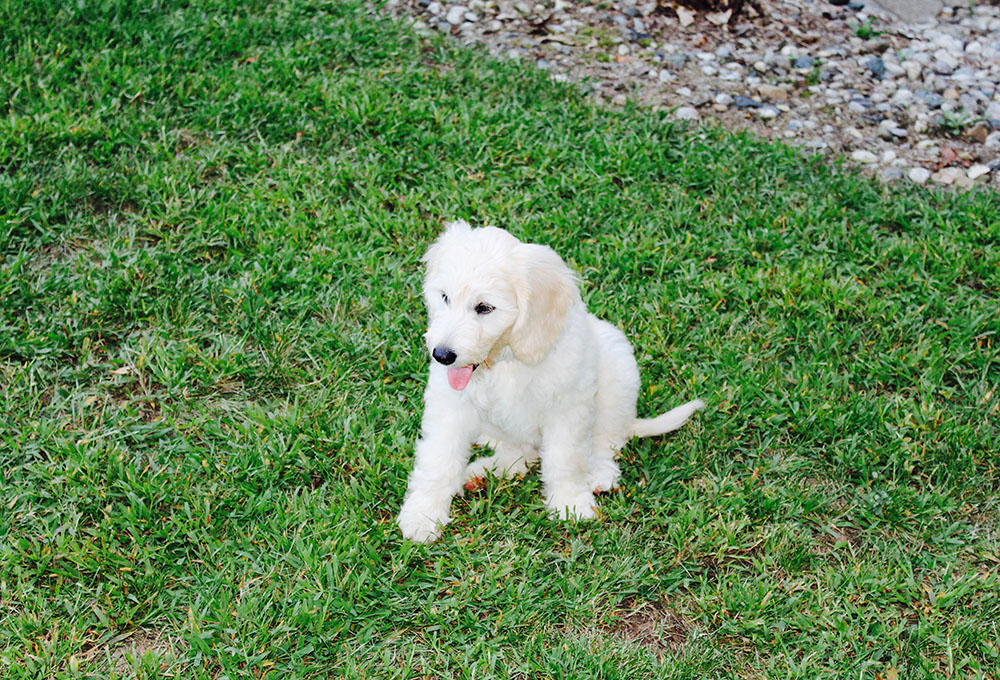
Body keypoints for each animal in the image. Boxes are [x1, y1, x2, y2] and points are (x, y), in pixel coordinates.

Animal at [394, 222, 708, 540]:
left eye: (484, 307)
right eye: (444, 297)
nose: (442, 355)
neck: (506, 359)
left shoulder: (567, 407)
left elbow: (565, 460)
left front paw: (571, 504)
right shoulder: (450, 405)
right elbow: (438, 457)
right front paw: (423, 514)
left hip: (617, 369)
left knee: (607, 438)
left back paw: (599, 472)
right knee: (519, 455)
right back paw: (481, 473)